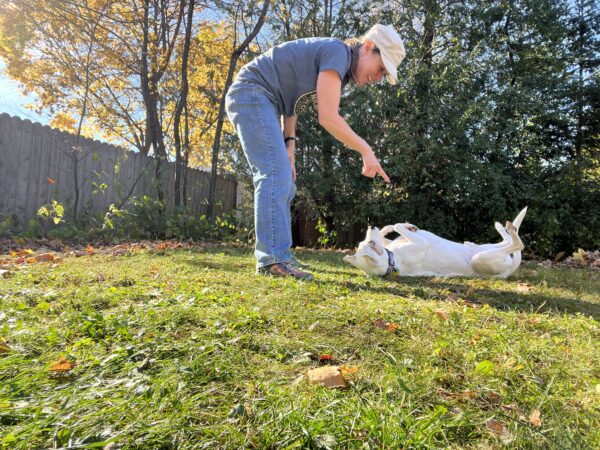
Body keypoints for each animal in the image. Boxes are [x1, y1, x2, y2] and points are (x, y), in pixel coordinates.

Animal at [344, 207, 528, 278]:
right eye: (371, 244)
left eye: (365, 242)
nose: (370, 225)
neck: (393, 261)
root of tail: (508, 271)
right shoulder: (420, 244)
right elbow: (397, 226)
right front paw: (405, 226)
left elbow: (391, 228)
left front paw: (401, 226)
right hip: (482, 258)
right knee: (518, 244)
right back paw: (510, 228)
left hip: (483, 248)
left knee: (505, 241)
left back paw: (501, 227)